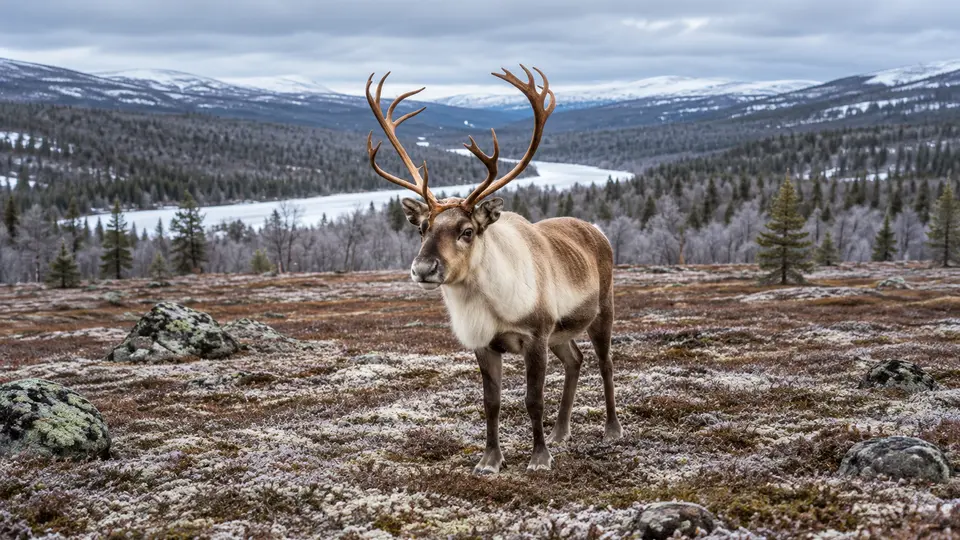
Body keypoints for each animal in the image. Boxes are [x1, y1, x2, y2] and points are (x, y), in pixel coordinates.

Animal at [365, 65, 622, 474]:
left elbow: (533, 400)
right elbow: (491, 403)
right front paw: (489, 460)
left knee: (605, 362)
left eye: (467, 230)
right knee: (575, 360)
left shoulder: (536, 337)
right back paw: (561, 432)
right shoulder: (484, 345)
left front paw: (538, 459)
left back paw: (612, 430)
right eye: (422, 228)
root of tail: (596, 229)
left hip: (602, 311)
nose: (423, 268)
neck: (490, 304)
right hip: (561, 333)